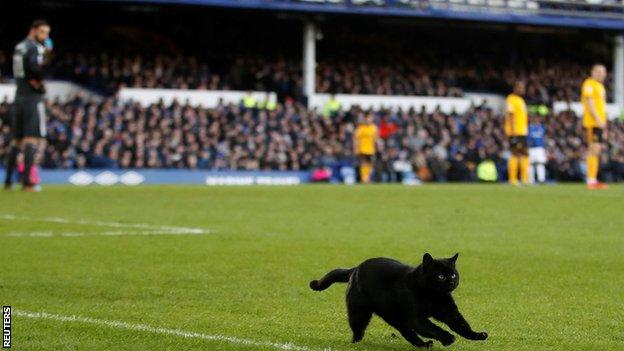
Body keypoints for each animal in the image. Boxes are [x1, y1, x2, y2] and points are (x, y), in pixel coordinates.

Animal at [310, 253, 490, 350]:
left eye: (452, 274)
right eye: (440, 276)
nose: (451, 281)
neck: (433, 296)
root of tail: (356, 268)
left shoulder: (449, 312)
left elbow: (462, 325)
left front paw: (477, 335)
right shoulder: (416, 318)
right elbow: (434, 328)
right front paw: (448, 338)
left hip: (395, 316)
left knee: (408, 333)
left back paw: (424, 345)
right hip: (360, 312)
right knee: (358, 329)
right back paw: (356, 344)